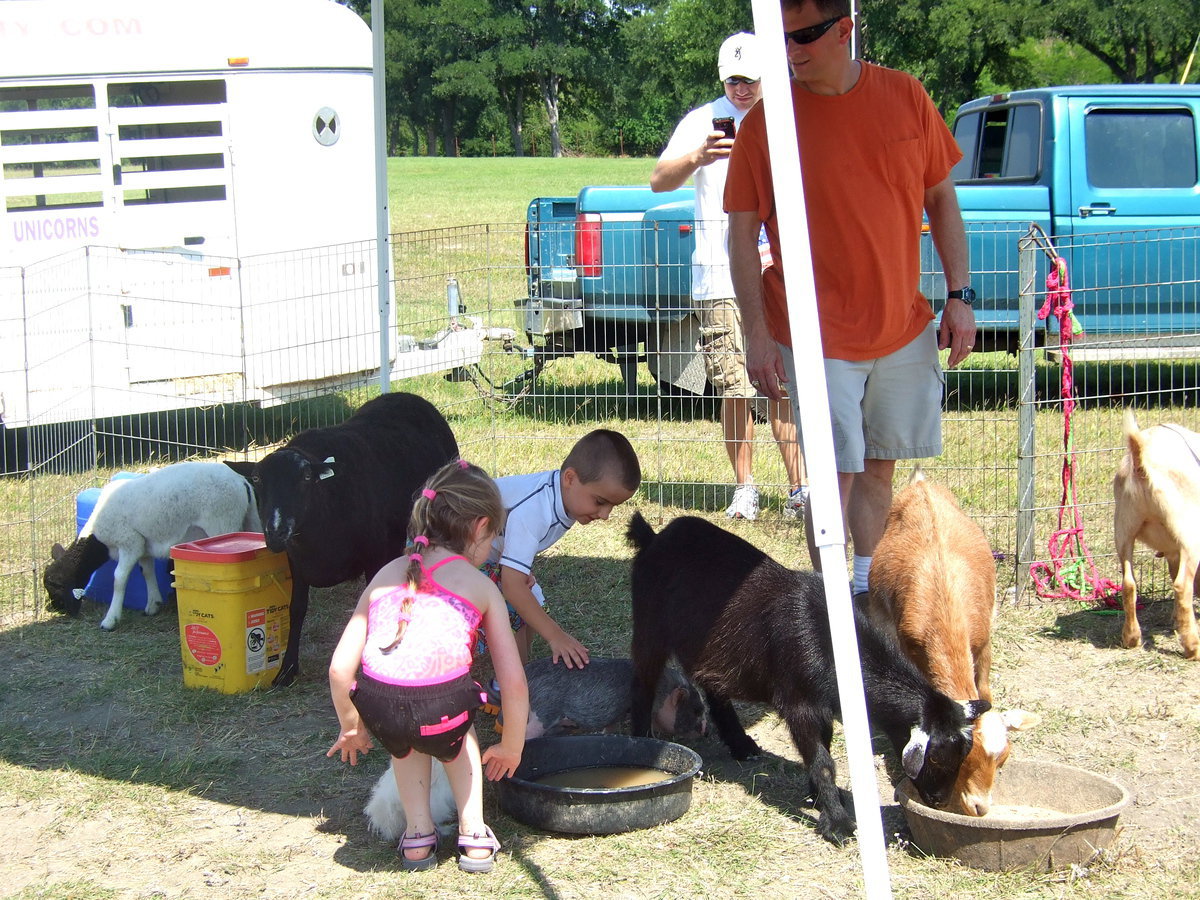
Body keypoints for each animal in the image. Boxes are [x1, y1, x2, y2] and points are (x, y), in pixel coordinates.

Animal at [45, 460, 260, 628]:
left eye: (56, 585)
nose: (58, 610)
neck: (97, 539)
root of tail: (240, 481)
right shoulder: (144, 545)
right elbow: (146, 571)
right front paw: (153, 604)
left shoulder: (129, 542)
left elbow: (119, 578)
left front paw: (110, 619)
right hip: (249, 518)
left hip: (223, 523)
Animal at [241, 391, 456, 686]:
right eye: (256, 479)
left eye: (306, 477)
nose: (276, 530)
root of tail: (406, 395)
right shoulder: (296, 561)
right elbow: (296, 609)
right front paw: (287, 670)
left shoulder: (373, 556)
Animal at [628, 513, 984, 844]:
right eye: (934, 755)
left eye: (963, 754)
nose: (938, 800)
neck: (828, 636)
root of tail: (654, 538)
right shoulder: (798, 703)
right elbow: (823, 760)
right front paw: (838, 823)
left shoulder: (821, 704)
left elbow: (822, 747)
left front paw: (820, 798)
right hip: (649, 627)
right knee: (644, 681)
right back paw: (642, 739)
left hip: (706, 648)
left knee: (714, 687)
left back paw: (741, 744)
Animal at [864, 472, 1041, 816]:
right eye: (962, 759)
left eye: (1003, 759)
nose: (980, 807)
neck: (944, 605)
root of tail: (921, 483)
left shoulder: (983, 642)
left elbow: (985, 689)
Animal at [1113, 410, 1200, 662]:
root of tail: (1142, 464)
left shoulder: (1172, 552)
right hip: (1189, 531)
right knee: (1182, 586)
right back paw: (1193, 647)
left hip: (1123, 527)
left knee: (1129, 583)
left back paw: (1131, 638)